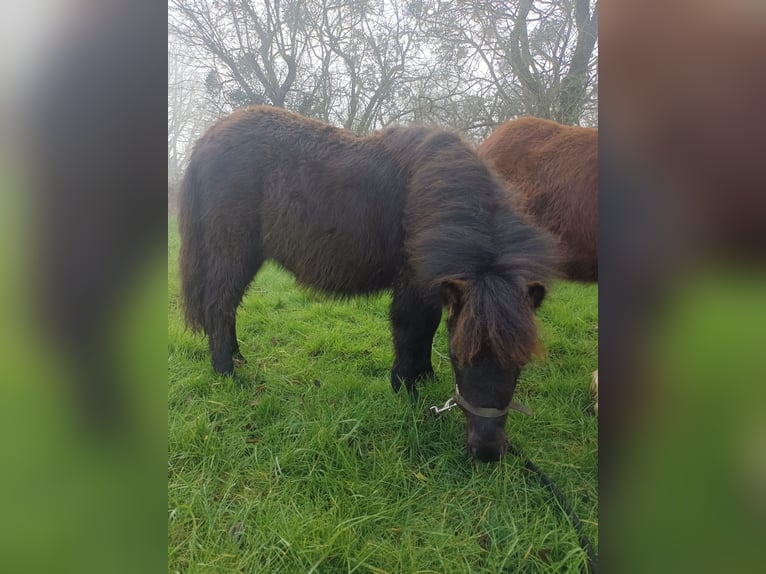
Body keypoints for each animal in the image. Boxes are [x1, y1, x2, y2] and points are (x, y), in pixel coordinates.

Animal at [178, 107, 556, 464]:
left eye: (521, 362)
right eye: (457, 357)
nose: (488, 451)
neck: (434, 191)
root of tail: (207, 140)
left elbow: (428, 329)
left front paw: (424, 377)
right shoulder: (411, 284)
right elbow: (410, 332)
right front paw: (406, 390)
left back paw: (237, 359)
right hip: (233, 250)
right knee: (220, 306)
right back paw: (228, 373)